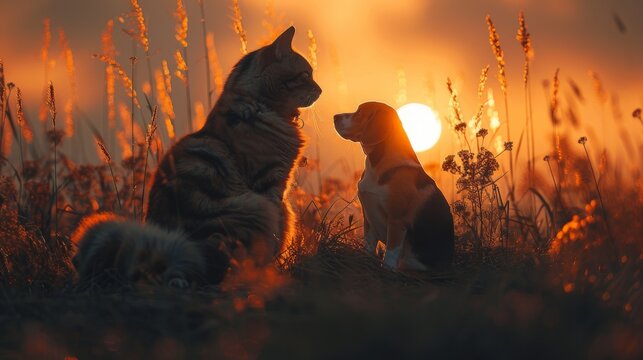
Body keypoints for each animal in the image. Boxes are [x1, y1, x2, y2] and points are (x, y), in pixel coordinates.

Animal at [146, 26, 322, 282]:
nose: (321, 89)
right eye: (306, 75)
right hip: (254, 206)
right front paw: (276, 267)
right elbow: (279, 227)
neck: (260, 106)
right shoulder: (269, 182)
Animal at [334, 101, 456, 270]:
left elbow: (390, 255)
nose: (335, 117)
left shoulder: (397, 221)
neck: (378, 165)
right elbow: (369, 247)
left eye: (359, 113)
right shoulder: (369, 218)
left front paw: (386, 270)